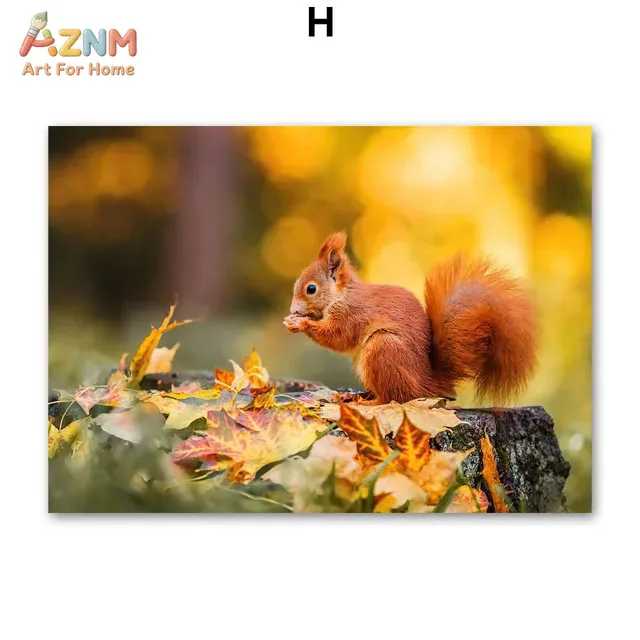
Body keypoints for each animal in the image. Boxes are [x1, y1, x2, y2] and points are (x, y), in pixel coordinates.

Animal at [283, 231, 537, 406]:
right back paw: (353, 396)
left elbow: (338, 337)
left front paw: (300, 323)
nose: (293, 310)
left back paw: (368, 402)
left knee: (394, 398)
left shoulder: (351, 314)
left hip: (383, 349)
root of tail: (425, 384)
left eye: (311, 289)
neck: (341, 294)